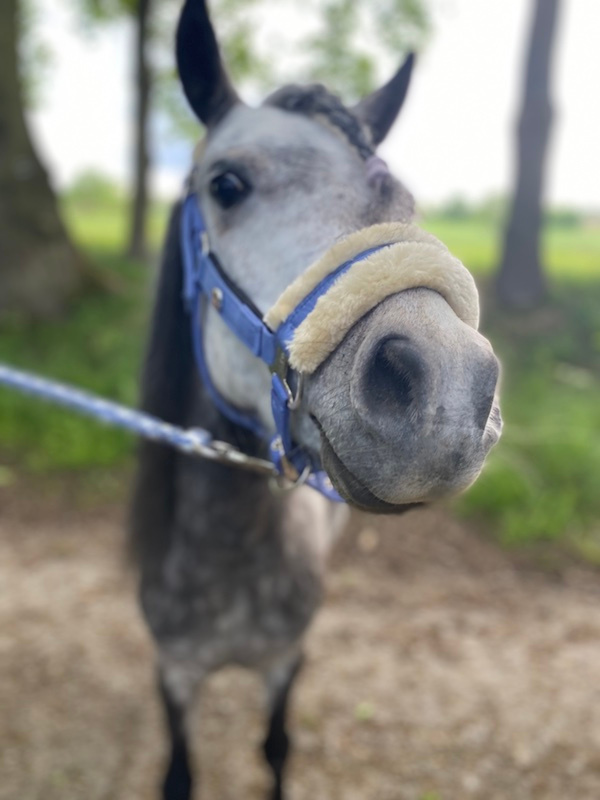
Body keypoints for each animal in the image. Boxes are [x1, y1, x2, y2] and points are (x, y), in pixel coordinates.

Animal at [130, 1, 502, 798]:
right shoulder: (174, 673)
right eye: (226, 185)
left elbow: (275, 748)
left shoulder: (286, 663)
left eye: (403, 200)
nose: (449, 390)